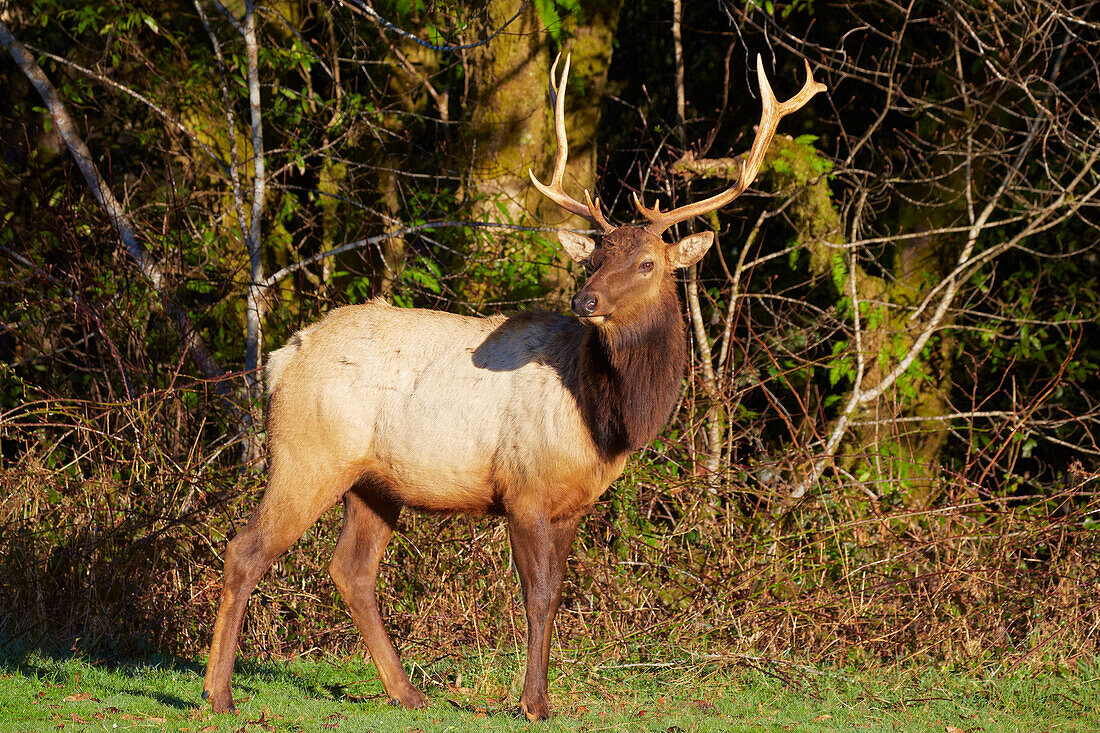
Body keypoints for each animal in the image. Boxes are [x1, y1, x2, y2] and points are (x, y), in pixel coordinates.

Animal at [204, 54, 827, 717]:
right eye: (593, 259)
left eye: (647, 263)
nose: (586, 300)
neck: (604, 418)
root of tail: (280, 359)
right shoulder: (523, 487)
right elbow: (540, 593)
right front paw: (533, 702)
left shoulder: (574, 502)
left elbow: (557, 592)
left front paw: (536, 697)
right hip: (308, 454)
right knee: (246, 548)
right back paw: (219, 694)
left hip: (373, 482)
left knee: (351, 569)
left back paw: (408, 692)